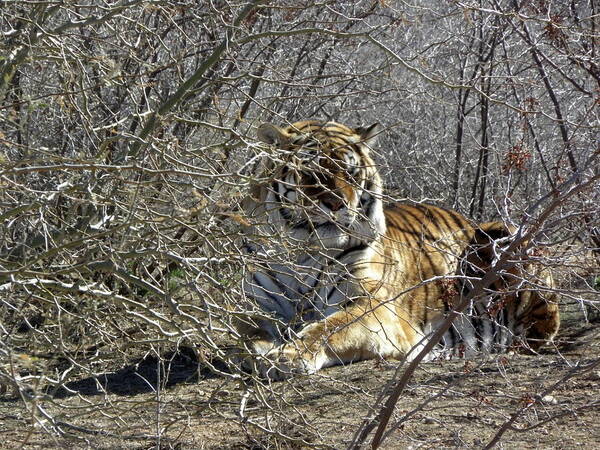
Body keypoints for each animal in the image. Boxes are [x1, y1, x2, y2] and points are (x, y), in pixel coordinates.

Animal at [237, 120, 560, 380]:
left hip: (510, 235)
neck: (300, 247)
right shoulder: (254, 307)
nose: (337, 204)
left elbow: (328, 327)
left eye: (351, 173)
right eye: (312, 174)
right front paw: (258, 351)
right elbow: (248, 335)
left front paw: (289, 355)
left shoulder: (373, 305)